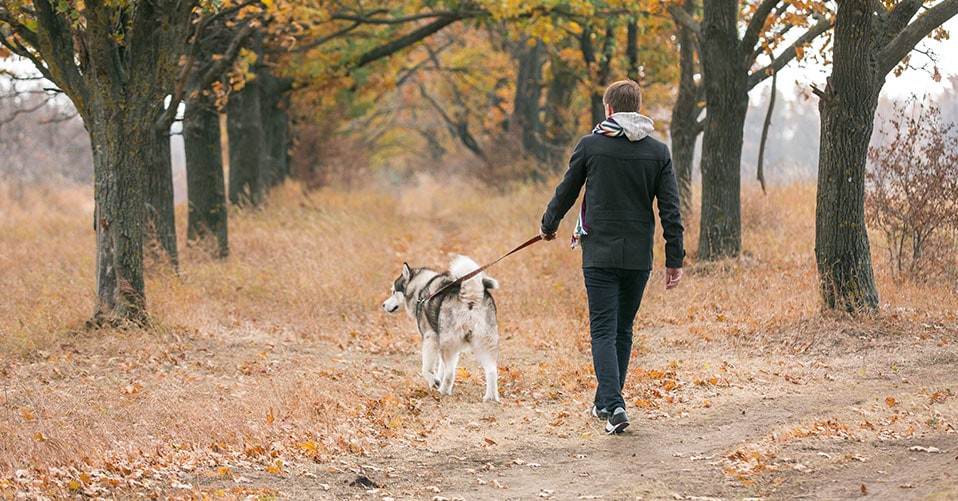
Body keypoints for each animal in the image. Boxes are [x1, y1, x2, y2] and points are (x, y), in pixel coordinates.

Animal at [382, 256, 502, 400]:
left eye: (393, 291)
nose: (383, 304)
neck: (421, 290)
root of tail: (470, 294)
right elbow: (441, 368)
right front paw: (438, 378)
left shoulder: (430, 338)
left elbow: (427, 368)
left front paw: (434, 381)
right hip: (485, 344)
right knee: (492, 371)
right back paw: (491, 397)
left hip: (448, 343)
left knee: (450, 372)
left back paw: (443, 391)